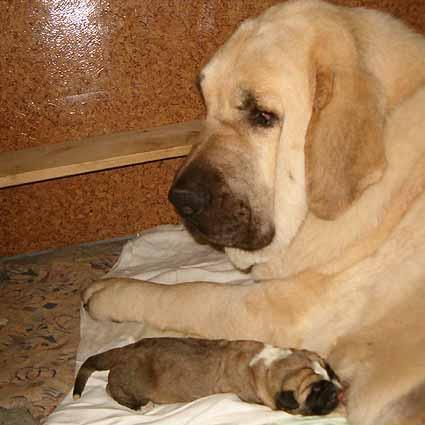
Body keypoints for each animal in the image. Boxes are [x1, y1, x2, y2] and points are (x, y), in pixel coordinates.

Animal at [73, 338, 342, 414]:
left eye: (329, 370)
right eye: (315, 391)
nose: (337, 391)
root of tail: (124, 351)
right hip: (128, 384)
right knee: (111, 390)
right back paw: (140, 406)